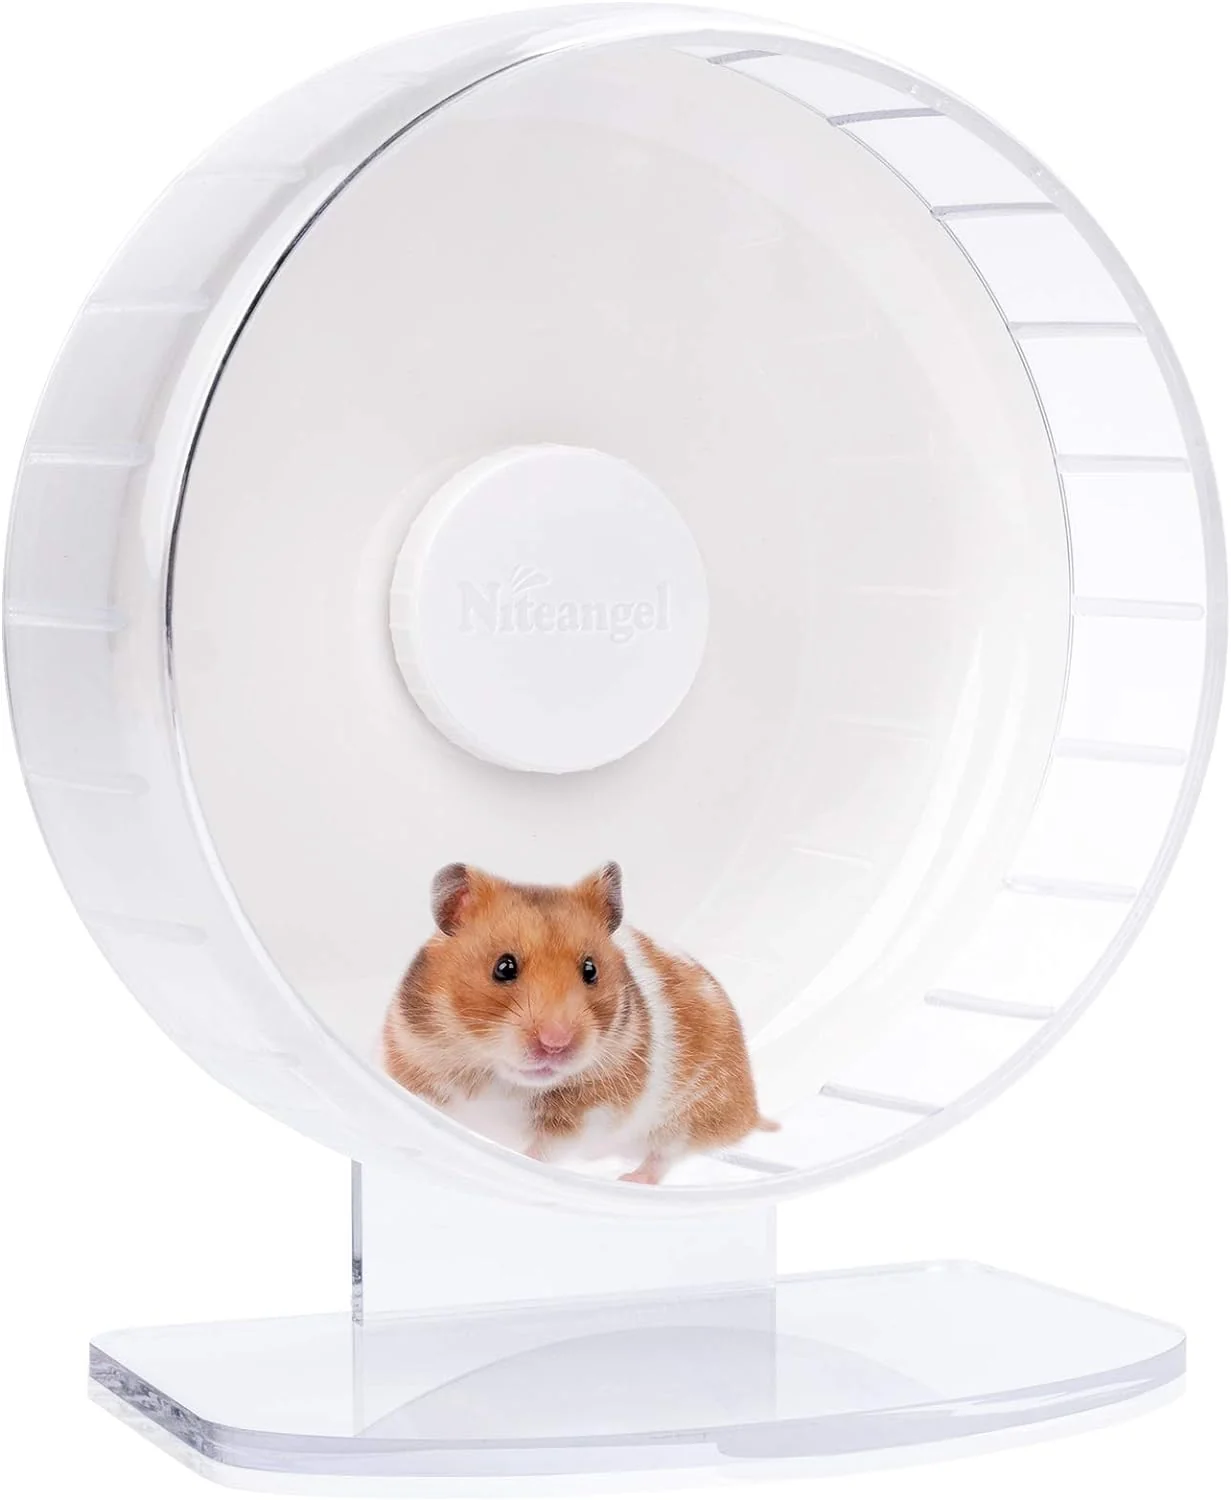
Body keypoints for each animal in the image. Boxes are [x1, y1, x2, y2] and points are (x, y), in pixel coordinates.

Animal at [382, 861, 776, 1184]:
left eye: (591, 970)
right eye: (504, 967)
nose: (556, 1044)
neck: (500, 1079)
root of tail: (749, 1110)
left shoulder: (586, 1116)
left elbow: (542, 1151)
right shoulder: (412, 1069)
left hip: (689, 1118)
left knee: (663, 1157)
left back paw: (630, 1180)